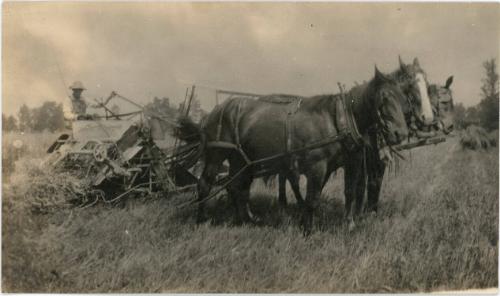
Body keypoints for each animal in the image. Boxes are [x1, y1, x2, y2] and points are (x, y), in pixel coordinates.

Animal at [174, 66, 408, 235]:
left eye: (403, 97)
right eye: (384, 98)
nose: (400, 133)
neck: (338, 119)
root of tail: (212, 113)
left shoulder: (352, 162)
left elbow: (349, 193)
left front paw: (348, 225)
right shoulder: (317, 166)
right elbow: (312, 198)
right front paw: (308, 230)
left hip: (240, 159)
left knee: (236, 186)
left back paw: (245, 219)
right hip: (216, 154)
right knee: (205, 184)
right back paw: (202, 220)